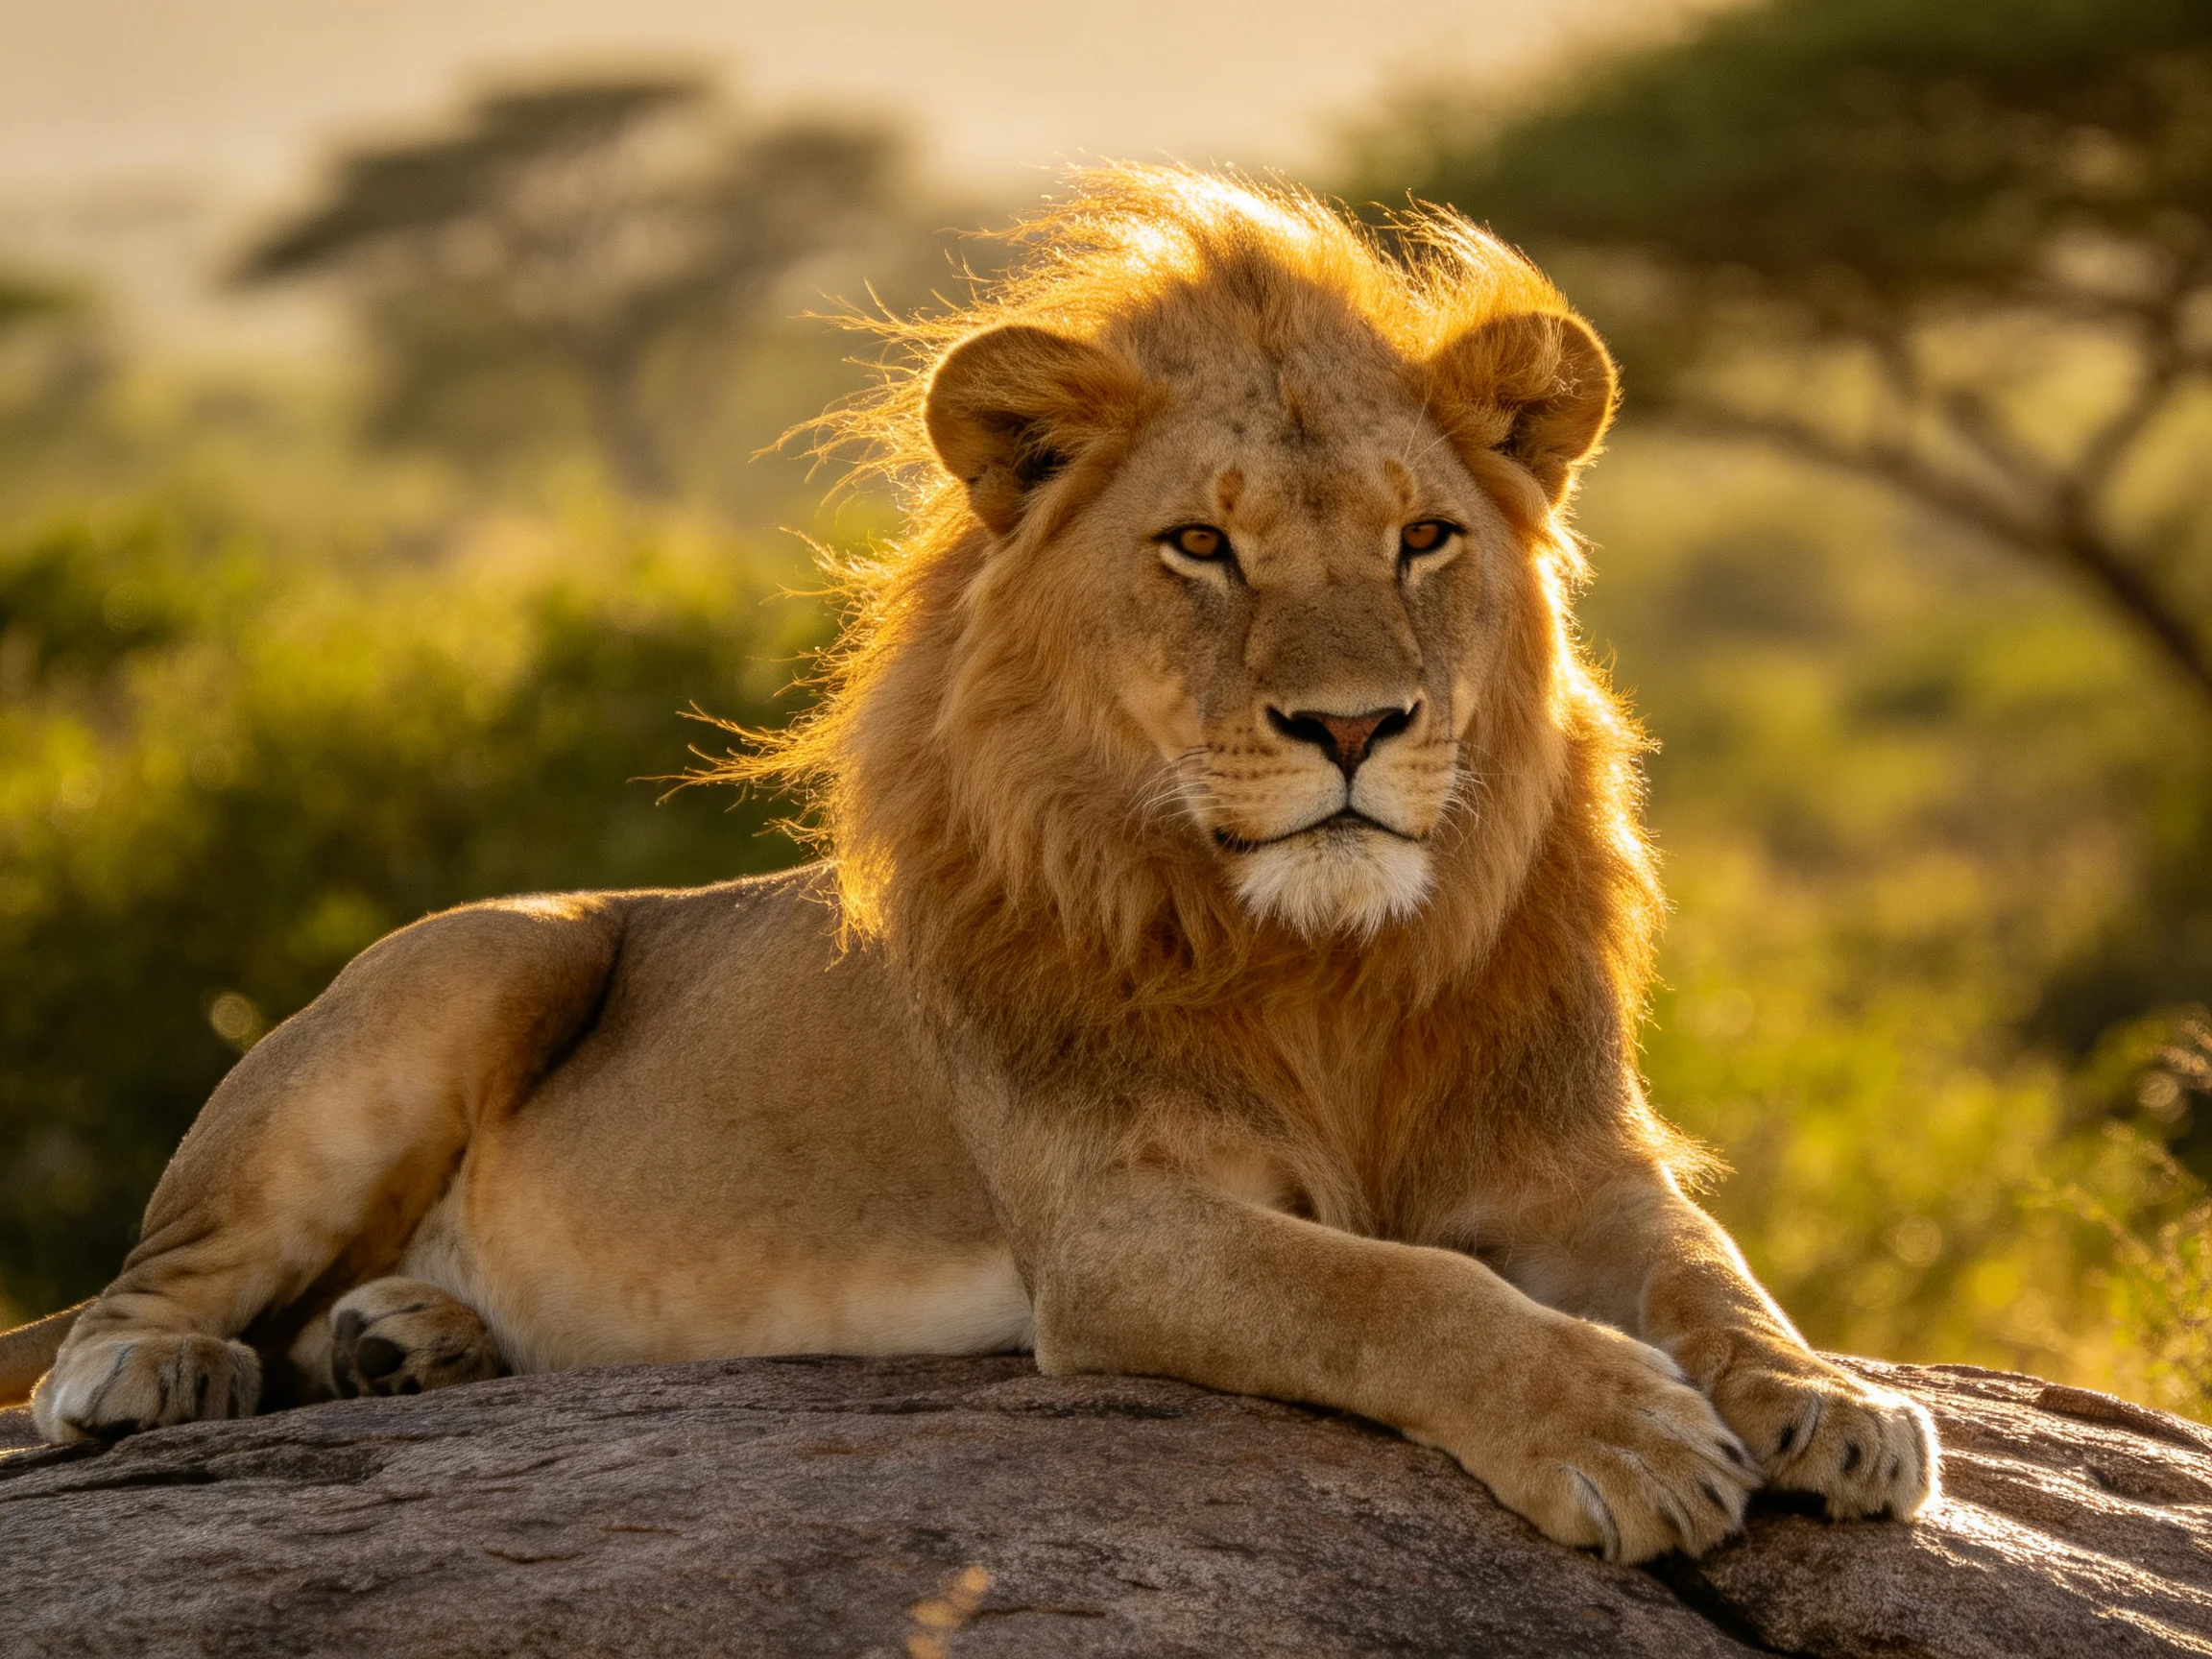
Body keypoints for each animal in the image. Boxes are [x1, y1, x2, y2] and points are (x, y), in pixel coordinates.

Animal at [4, 167, 1935, 1563]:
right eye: (1200, 547)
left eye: (1423, 537)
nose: (1353, 726)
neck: (1328, 960)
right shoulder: (1114, 1229)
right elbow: (1392, 1286)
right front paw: (1618, 1430)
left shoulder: (1570, 1157)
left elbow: (1711, 1269)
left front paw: (1826, 1400)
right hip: (480, 957)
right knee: (136, 1296)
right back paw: (163, 1366)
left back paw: (405, 1337)